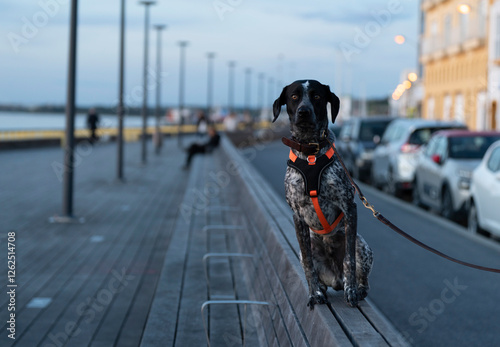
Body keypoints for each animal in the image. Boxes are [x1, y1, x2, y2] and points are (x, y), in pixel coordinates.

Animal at [272, 80, 374, 308]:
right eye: (294, 96)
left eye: (317, 96)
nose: (304, 111)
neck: (310, 152)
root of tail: (336, 278)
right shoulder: (297, 215)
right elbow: (309, 265)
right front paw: (315, 294)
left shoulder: (349, 205)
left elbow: (349, 260)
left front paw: (351, 292)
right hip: (306, 251)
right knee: (310, 264)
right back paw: (322, 288)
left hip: (363, 246)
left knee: (361, 276)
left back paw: (357, 289)